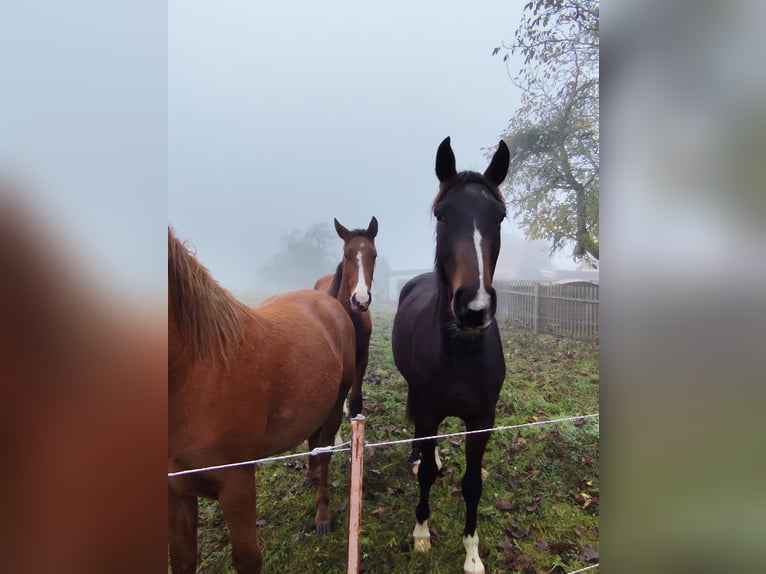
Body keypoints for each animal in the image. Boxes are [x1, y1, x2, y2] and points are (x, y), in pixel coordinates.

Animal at [168, 228, 356, 574]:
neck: (195, 371)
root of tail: (328, 301)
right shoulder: (176, 492)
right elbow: (183, 559)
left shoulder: (237, 484)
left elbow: (248, 558)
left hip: (336, 405)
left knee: (324, 454)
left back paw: (322, 514)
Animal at [391, 137, 510, 574]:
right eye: (442, 215)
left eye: (500, 216)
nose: (474, 307)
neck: (461, 352)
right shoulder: (428, 409)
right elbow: (425, 473)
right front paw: (421, 534)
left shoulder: (482, 421)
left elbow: (473, 484)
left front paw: (472, 553)